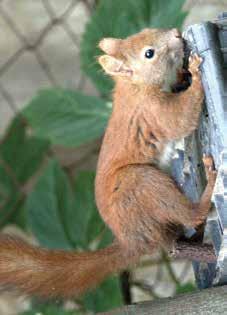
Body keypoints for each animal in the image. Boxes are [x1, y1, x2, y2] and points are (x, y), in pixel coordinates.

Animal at [0, 27, 217, 298]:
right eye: (149, 53)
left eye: (148, 30)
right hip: (138, 182)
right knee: (191, 215)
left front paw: (184, 74)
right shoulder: (152, 111)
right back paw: (209, 185)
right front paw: (195, 72)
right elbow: (180, 119)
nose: (177, 34)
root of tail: (132, 242)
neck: (135, 87)